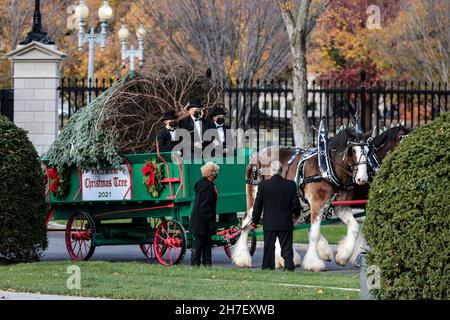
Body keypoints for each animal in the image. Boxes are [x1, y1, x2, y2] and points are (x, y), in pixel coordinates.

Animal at [232, 126, 370, 272]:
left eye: (368, 151)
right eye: (353, 150)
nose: (362, 179)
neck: (327, 167)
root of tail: (256, 155)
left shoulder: (340, 206)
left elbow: (354, 226)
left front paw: (342, 256)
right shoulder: (316, 203)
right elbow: (314, 233)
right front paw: (314, 263)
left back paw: (282, 259)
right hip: (256, 199)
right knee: (246, 221)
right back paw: (242, 258)